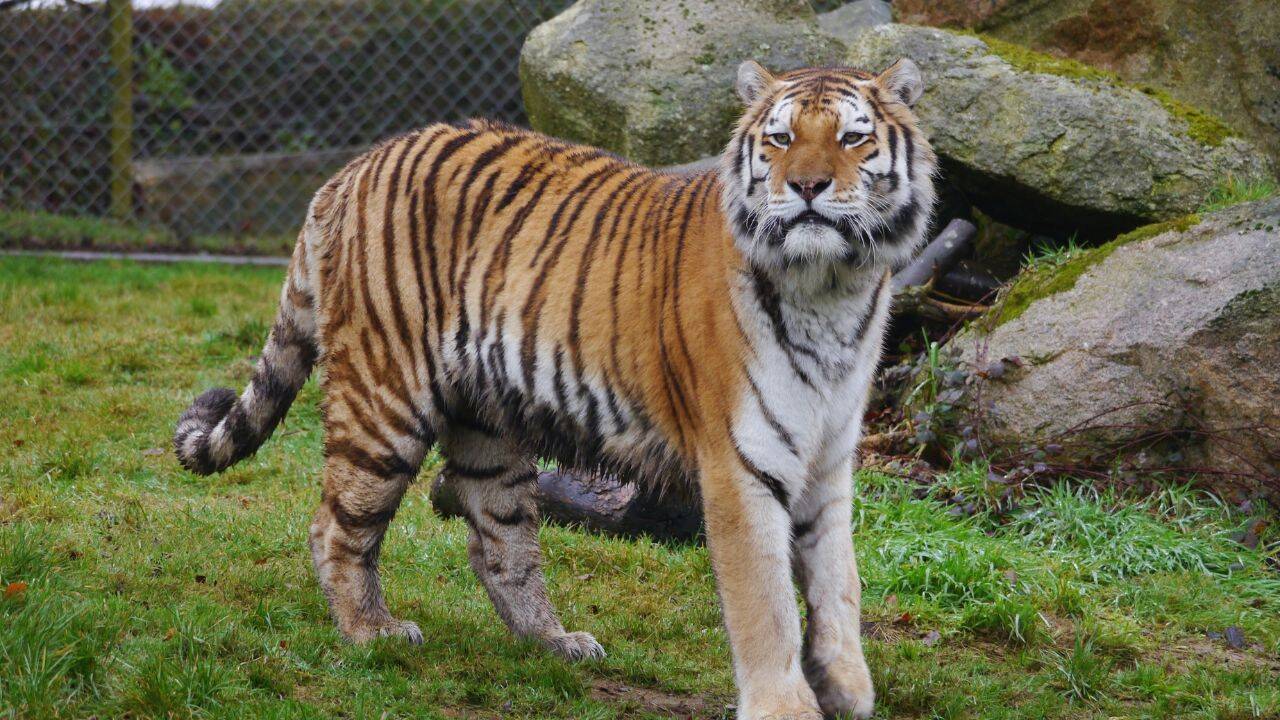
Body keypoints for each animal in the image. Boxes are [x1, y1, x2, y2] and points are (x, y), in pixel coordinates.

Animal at [174, 58, 935, 719]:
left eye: (852, 137)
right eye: (780, 139)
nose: (806, 187)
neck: (832, 289)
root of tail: (352, 169)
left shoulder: (828, 458)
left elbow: (840, 582)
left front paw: (847, 690)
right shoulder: (741, 464)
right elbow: (765, 602)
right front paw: (786, 707)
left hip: (486, 420)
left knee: (499, 541)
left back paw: (553, 642)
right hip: (384, 396)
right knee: (336, 523)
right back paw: (371, 633)